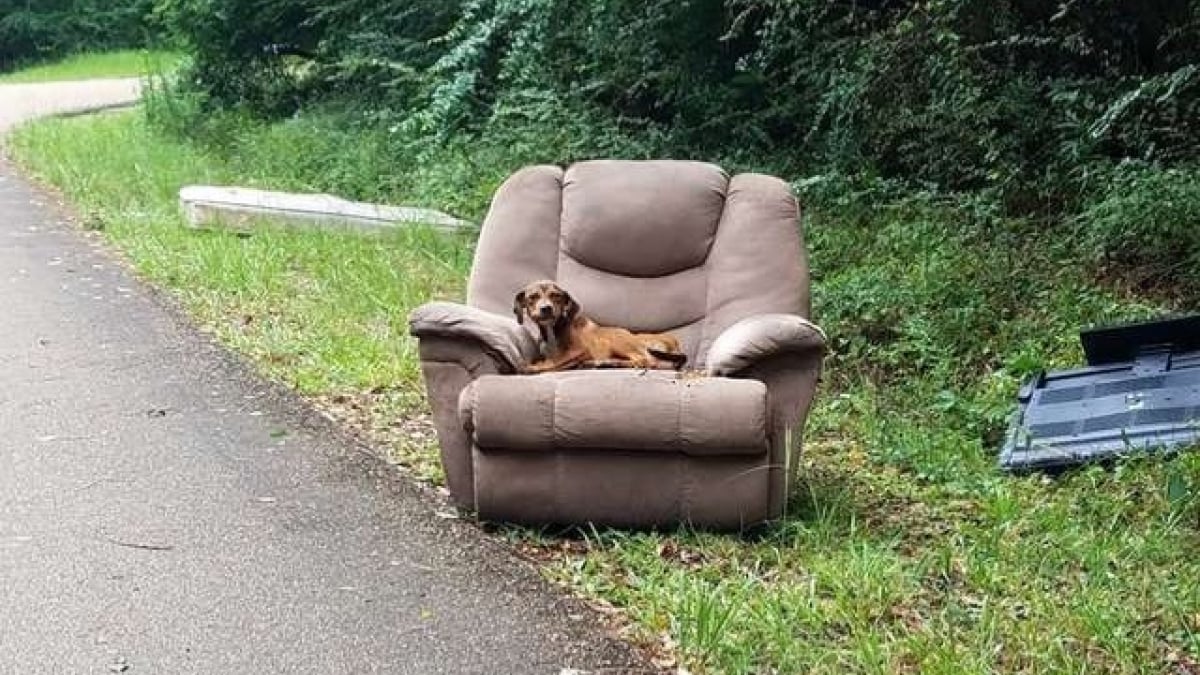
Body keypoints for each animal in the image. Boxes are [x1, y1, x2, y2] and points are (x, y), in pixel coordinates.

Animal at [513, 278, 691, 372]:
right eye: (532, 297)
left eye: (556, 296)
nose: (546, 308)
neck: (553, 329)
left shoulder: (580, 350)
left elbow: (556, 361)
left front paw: (533, 367)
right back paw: (605, 363)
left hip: (617, 340)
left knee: (644, 360)